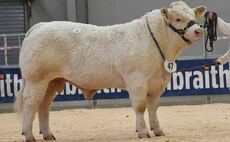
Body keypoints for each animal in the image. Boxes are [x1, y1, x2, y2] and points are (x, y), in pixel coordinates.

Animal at [15, 1, 206, 142]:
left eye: (192, 16)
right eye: (178, 19)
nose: (198, 30)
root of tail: (40, 26)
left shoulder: (157, 82)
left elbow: (153, 106)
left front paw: (158, 130)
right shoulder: (137, 80)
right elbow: (140, 106)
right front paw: (143, 132)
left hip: (52, 81)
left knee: (44, 105)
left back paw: (48, 134)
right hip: (36, 80)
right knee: (31, 104)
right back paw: (29, 135)